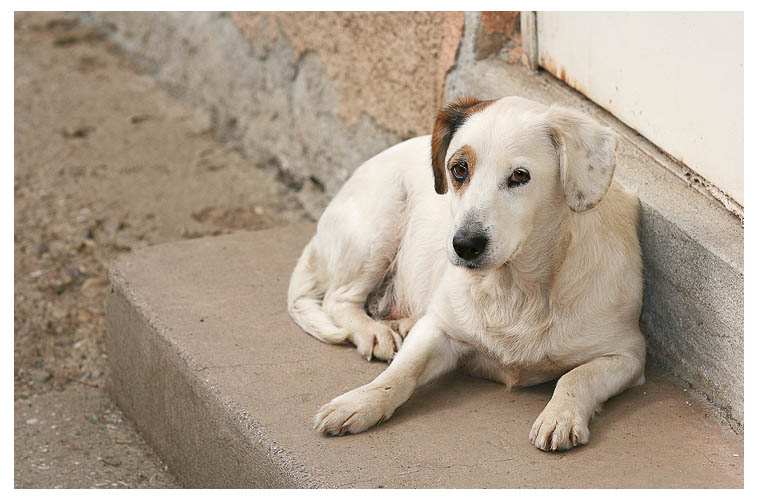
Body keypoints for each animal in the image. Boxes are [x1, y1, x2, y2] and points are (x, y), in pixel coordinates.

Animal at [287, 96, 645, 451]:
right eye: (458, 169)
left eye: (520, 175)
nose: (465, 245)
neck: (516, 289)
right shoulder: (438, 329)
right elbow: (399, 374)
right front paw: (360, 403)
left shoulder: (628, 355)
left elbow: (576, 377)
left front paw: (561, 415)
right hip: (380, 226)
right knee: (338, 299)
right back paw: (372, 332)